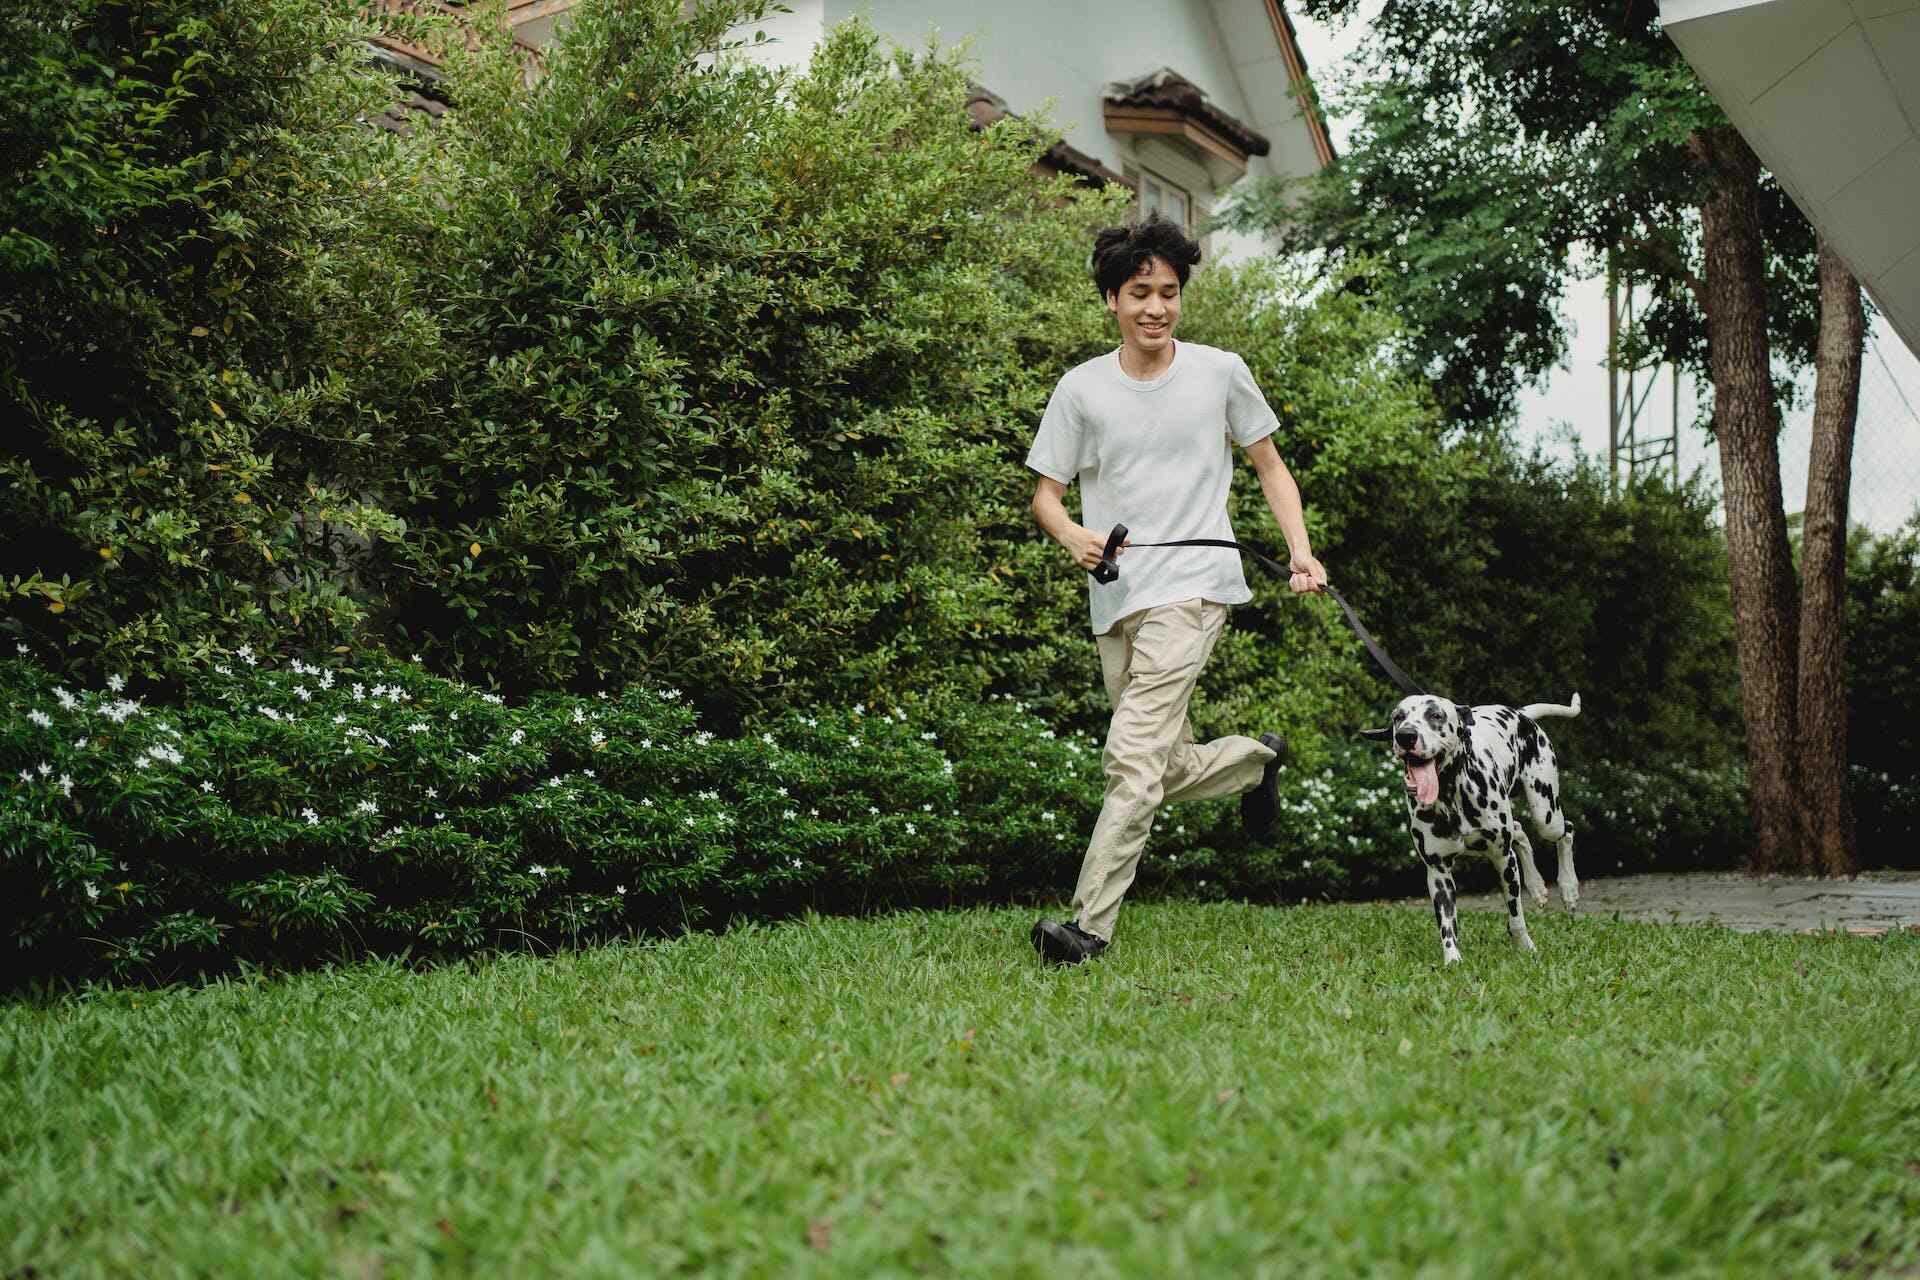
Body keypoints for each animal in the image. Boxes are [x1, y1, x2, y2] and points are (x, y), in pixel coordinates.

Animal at [1367, 694, 1589, 967]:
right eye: (1398, 717)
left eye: (1436, 715)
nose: (1405, 735)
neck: (1451, 795)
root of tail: (1520, 713)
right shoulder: (1438, 872)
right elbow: (1447, 925)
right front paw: (1452, 960)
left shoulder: (1504, 860)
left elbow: (1516, 916)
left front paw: (1525, 947)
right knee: (1519, 830)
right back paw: (1537, 886)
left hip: (1546, 815)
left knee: (1565, 831)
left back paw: (1569, 889)